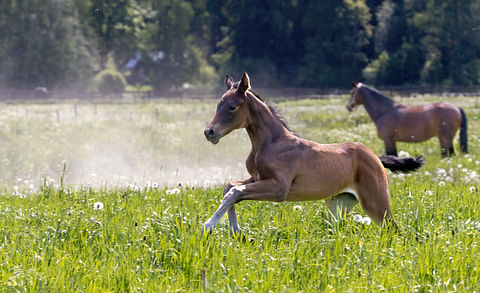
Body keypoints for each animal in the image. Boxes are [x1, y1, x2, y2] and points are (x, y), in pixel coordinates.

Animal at [202, 73, 424, 235]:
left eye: (232, 107)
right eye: (218, 105)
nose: (209, 132)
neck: (271, 143)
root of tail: (376, 158)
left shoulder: (279, 188)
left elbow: (235, 192)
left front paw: (208, 226)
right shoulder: (256, 178)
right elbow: (230, 187)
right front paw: (237, 232)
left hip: (376, 203)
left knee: (394, 230)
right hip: (340, 204)